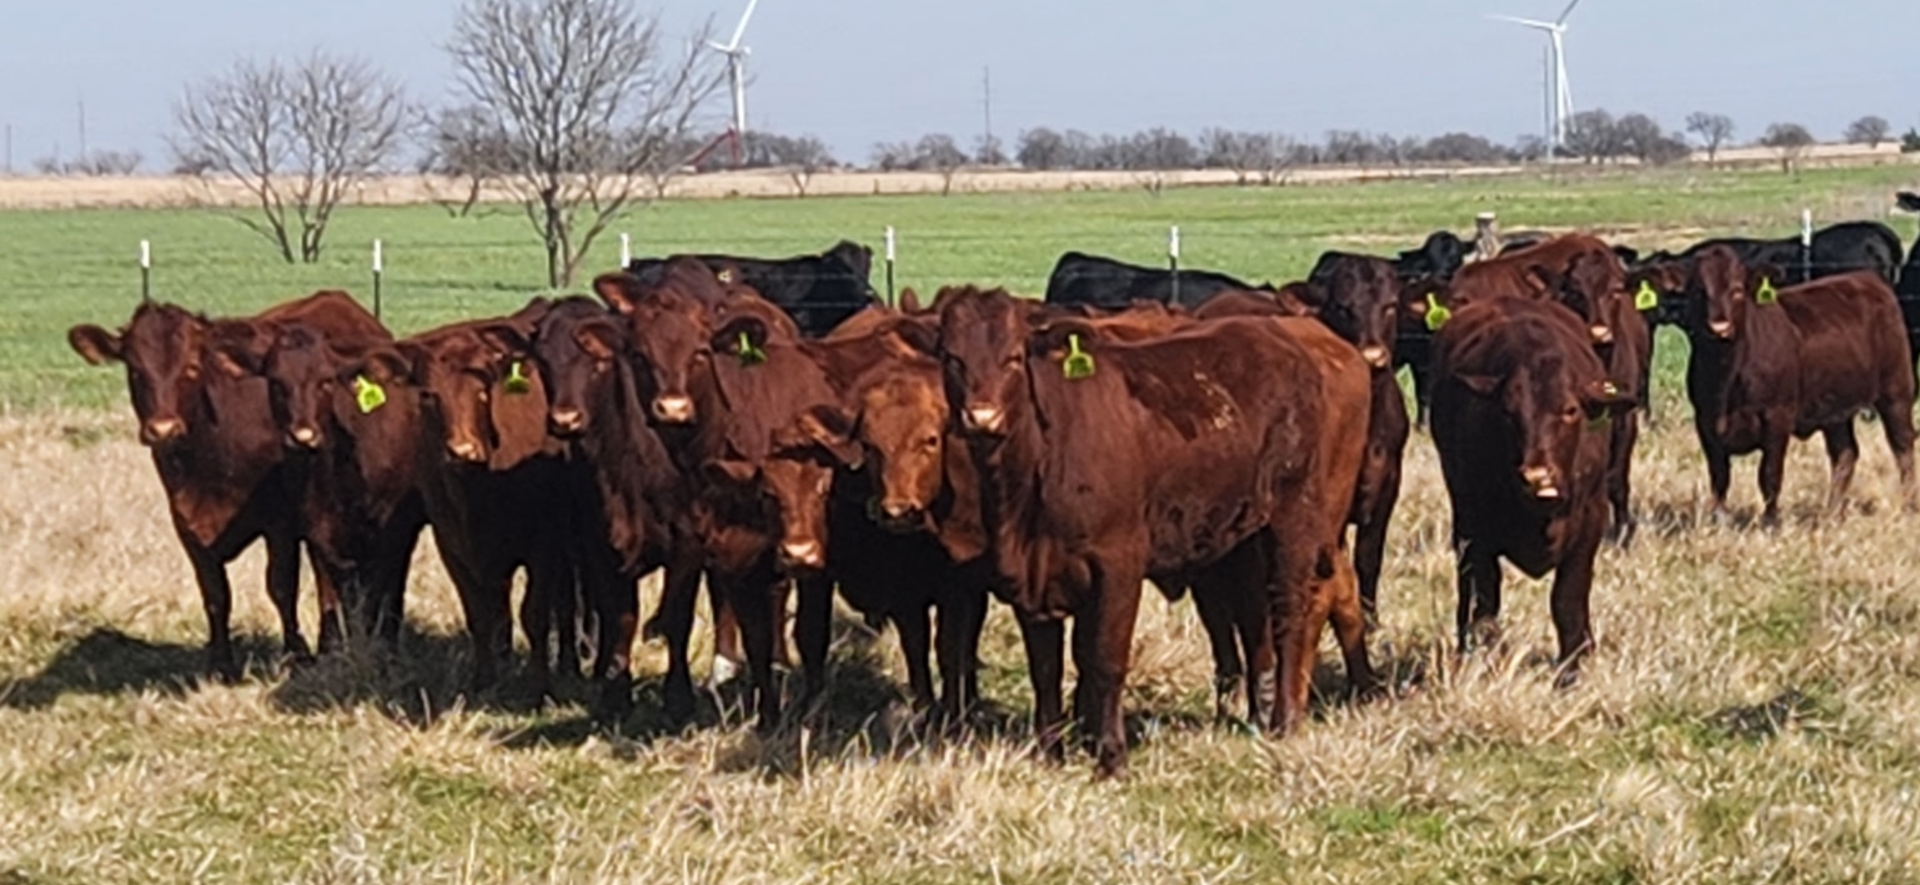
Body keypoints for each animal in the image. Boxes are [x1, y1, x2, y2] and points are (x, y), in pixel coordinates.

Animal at [936, 286, 1370, 776]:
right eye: (952, 358)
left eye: (1012, 358)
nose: (982, 417)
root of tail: (1283, 338)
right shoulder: (1031, 574)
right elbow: (1045, 668)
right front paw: (1051, 753)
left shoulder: (1118, 565)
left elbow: (1104, 659)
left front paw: (1110, 755)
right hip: (1241, 538)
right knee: (1254, 619)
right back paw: (1258, 715)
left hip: (1296, 515)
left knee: (1292, 608)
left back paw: (1285, 719)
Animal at [1430, 298, 1638, 681]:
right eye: (1507, 410)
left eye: (1570, 410)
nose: (1536, 476)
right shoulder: (1476, 528)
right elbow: (1486, 601)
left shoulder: (1591, 522)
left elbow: (1567, 601)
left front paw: (1572, 668)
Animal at [1683, 246, 1917, 523]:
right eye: (1698, 291)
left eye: (1737, 290)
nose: (1719, 327)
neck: (1726, 379)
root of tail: (1867, 279)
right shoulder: (1705, 422)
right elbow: (1719, 478)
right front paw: (1718, 521)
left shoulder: (1777, 418)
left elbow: (1769, 476)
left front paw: (1770, 522)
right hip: (1835, 410)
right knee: (1845, 454)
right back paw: (1831, 513)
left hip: (1897, 391)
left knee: (1903, 447)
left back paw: (1910, 505)